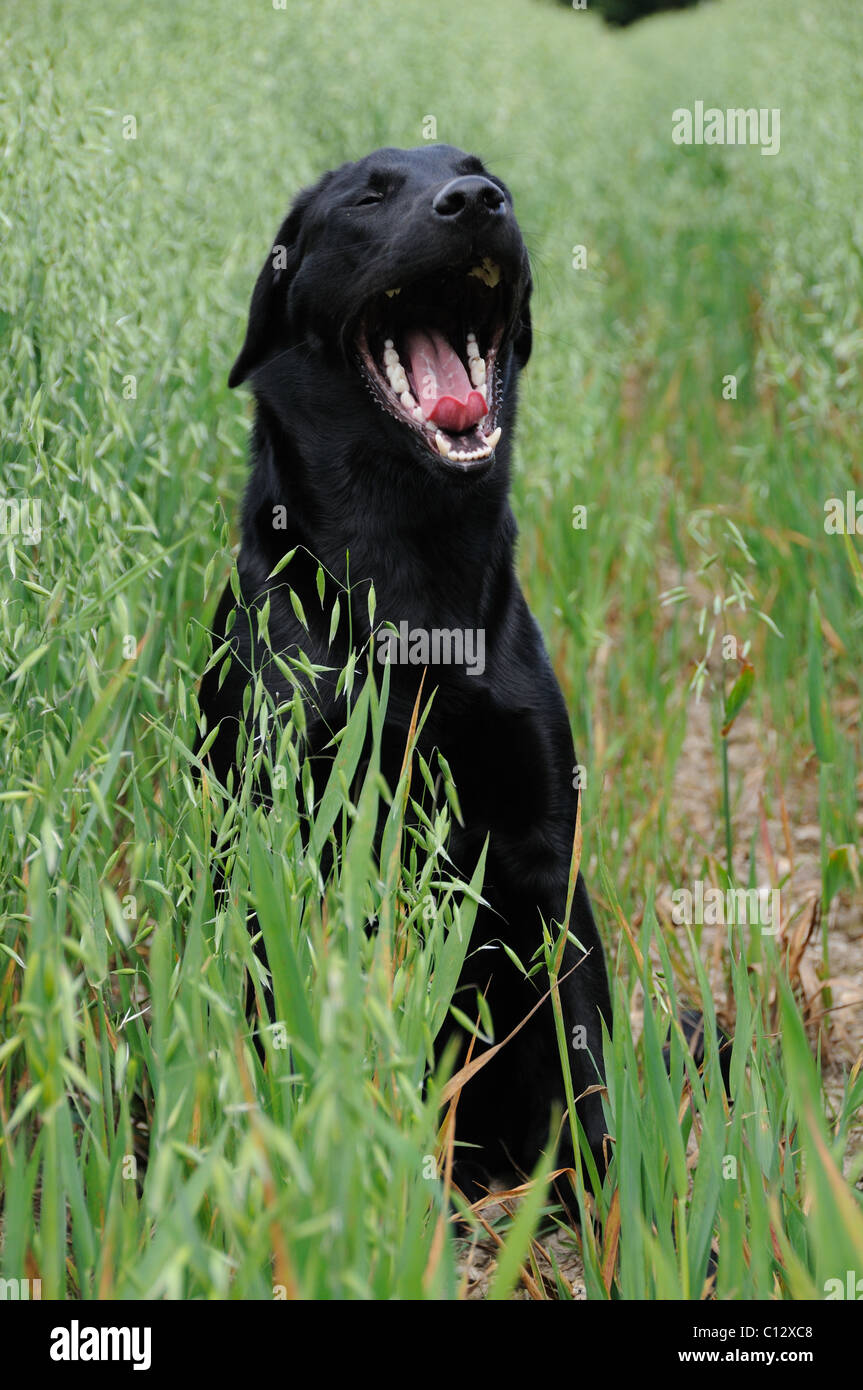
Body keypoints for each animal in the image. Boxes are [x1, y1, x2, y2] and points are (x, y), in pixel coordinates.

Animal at [197, 146, 611, 1200]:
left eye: (479, 171)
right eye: (369, 195)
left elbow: (588, 1074)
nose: (476, 202)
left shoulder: (544, 858)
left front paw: (622, 1216)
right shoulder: (275, 837)